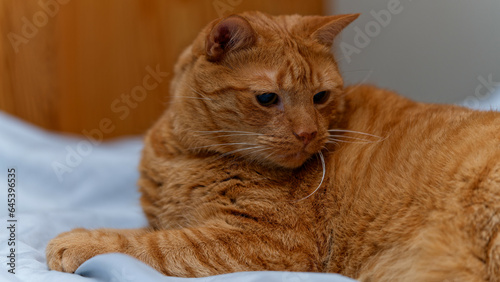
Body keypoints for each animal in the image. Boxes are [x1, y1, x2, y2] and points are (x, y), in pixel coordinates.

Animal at [47, 11, 500, 282]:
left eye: (320, 97)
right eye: (268, 98)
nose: (308, 133)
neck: (186, 157)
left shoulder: (262, 242)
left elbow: (154, 246)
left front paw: (83, 243)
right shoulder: (167, 219)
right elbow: (140, 231)